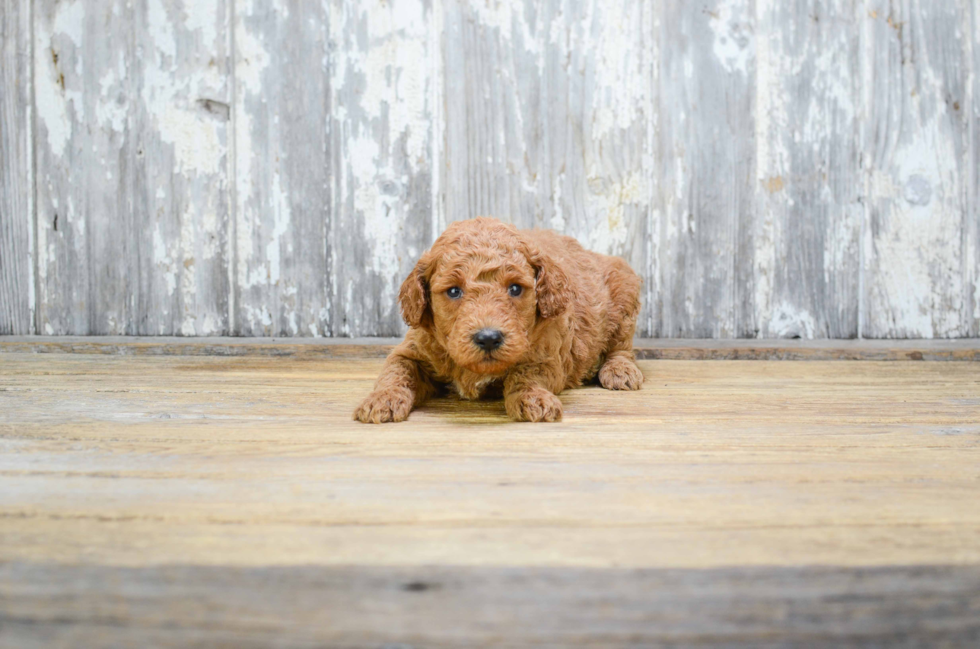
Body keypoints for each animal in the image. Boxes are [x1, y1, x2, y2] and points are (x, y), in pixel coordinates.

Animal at [352, 215, 644, 422]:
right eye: (454, 291)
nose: (489, 338)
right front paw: (382, 399)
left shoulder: (547, 356)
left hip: (624, 290)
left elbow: (525, 374)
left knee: (621, 345)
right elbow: (396, 371)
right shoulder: (412, 349)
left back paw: (620, 371)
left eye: (515, 288)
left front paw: (533, 399)